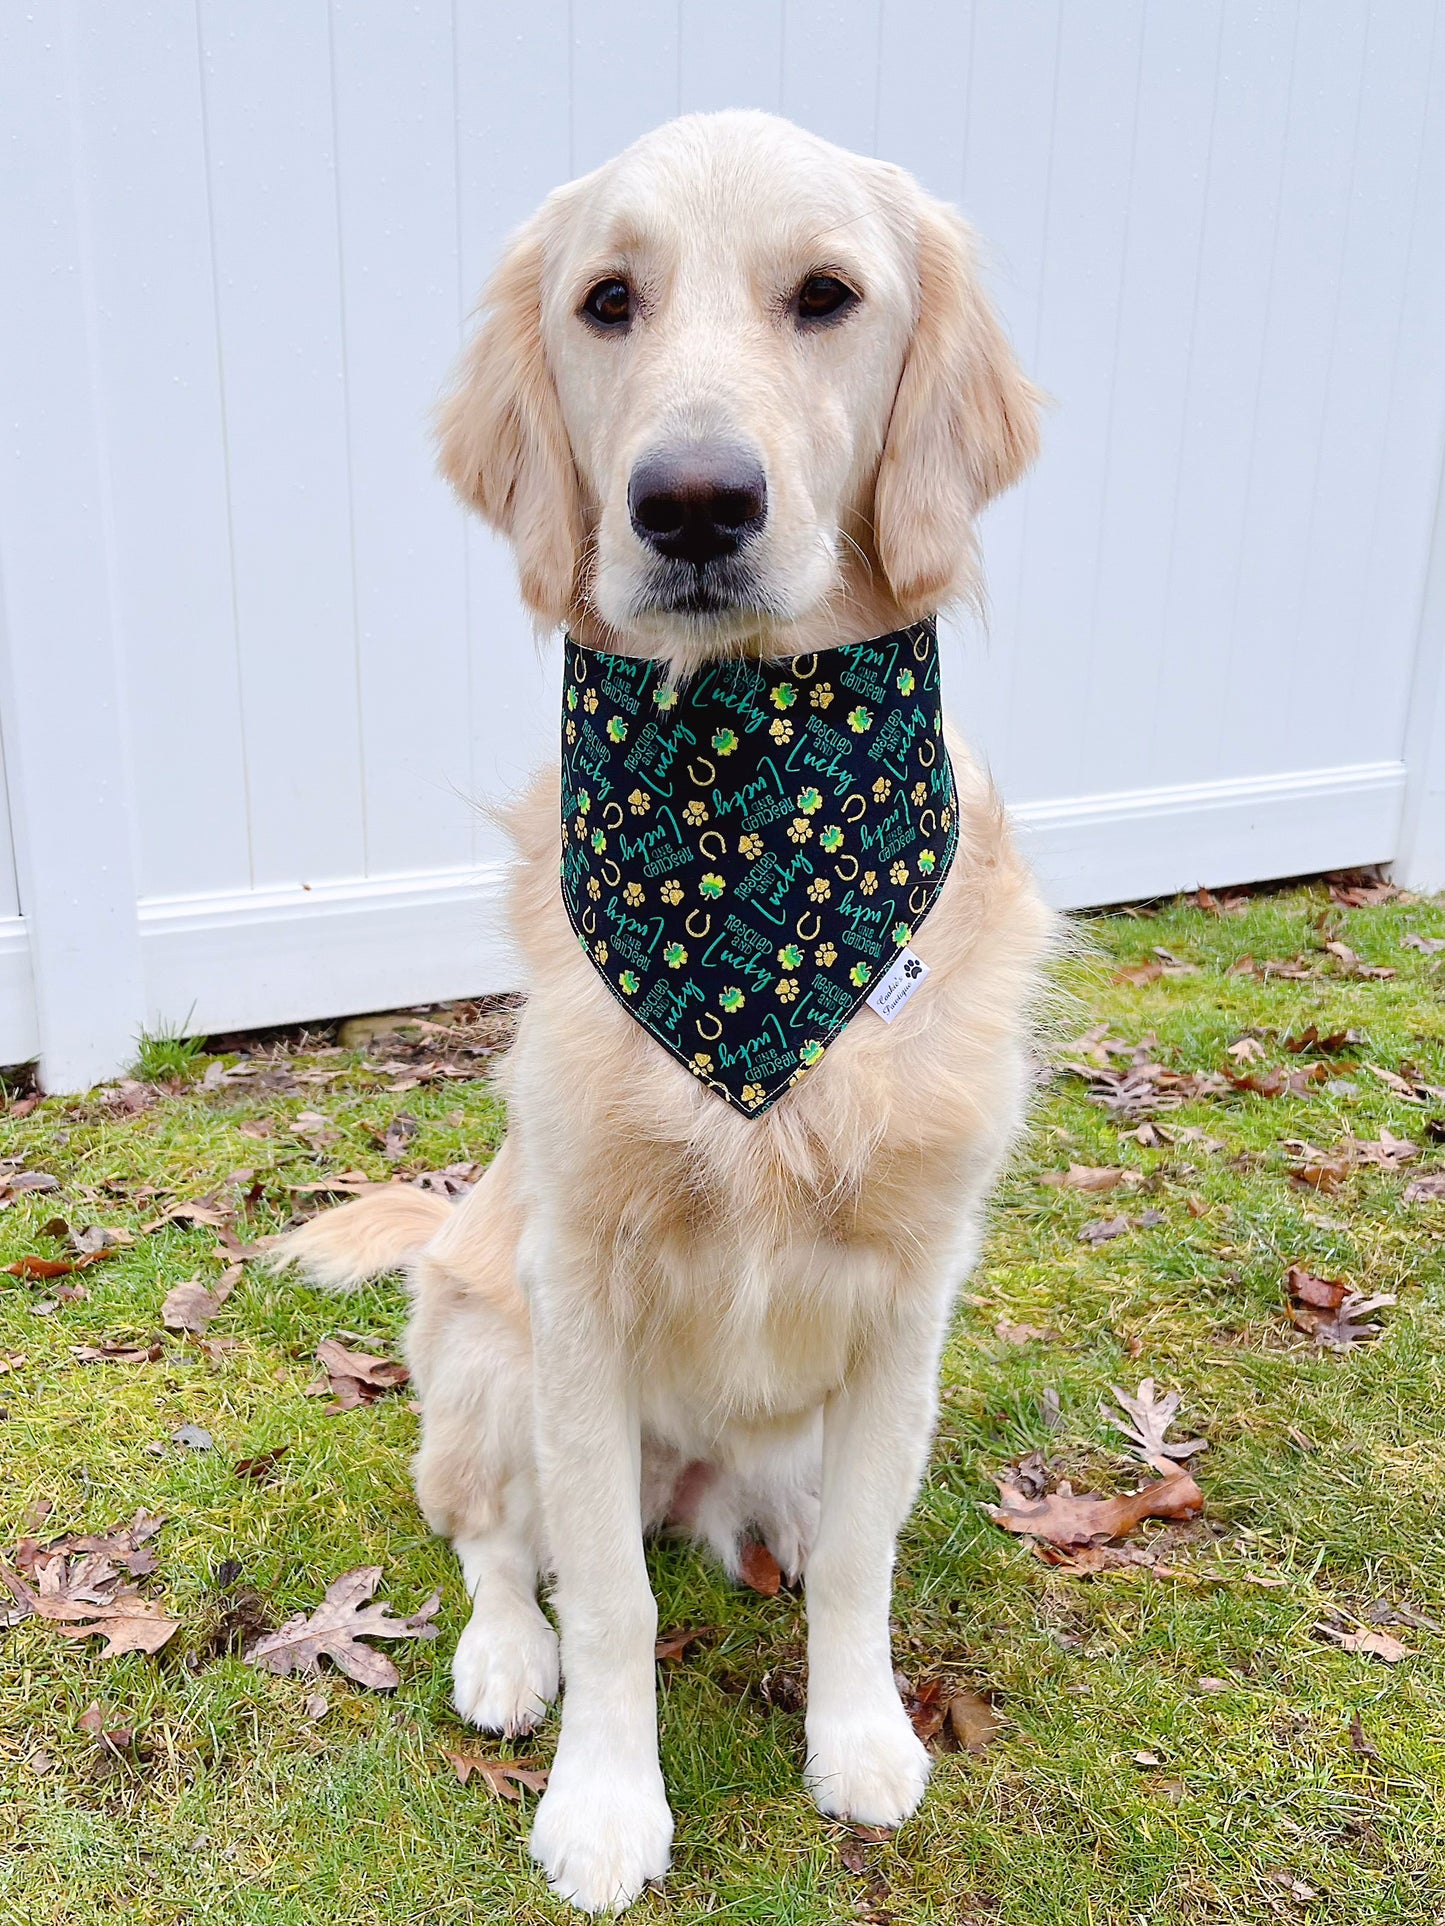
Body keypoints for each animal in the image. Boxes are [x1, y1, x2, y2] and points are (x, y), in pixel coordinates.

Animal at [277, 112, 1055, 1918]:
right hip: (485, 1349)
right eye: (607, 301)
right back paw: (506, 1656)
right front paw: (607, 1805)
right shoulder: (579, 1289)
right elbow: (611, 1602)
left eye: (827, 295)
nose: (692, 502)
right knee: (501, 1543)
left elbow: (862, 1557)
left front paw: (858, 1737)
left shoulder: (908, 1295)